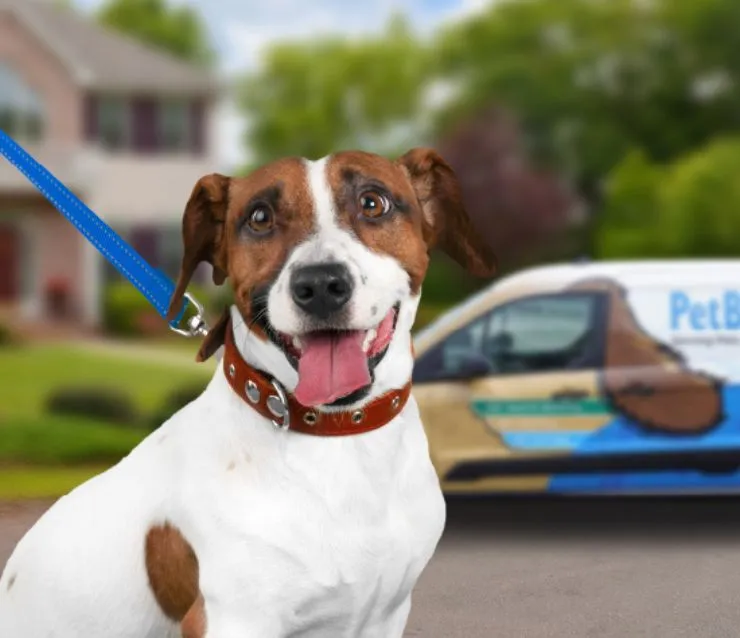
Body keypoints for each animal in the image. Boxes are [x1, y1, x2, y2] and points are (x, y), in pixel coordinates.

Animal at [1, 148, 498, 636]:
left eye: (373, 202)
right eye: (260, 217)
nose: (320, 285)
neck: (335, 439)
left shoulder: (384, 614)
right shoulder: (231, 618)